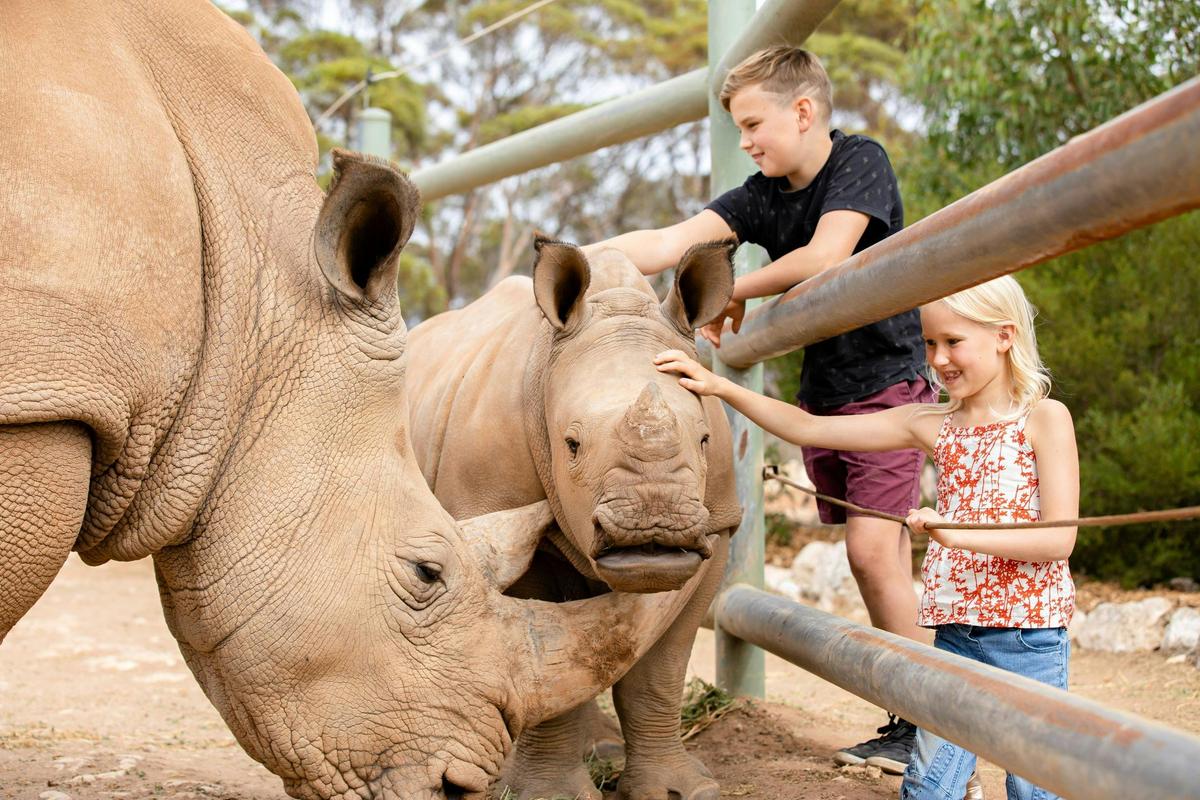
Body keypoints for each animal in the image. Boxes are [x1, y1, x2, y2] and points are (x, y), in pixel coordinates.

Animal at [405, 240, 742, 799]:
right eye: (572, 445)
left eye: (704, 440)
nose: (653, 526)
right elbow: (543, 655)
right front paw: (549, 793)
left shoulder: (716, 525)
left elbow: (659, 674)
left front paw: (679, 791)